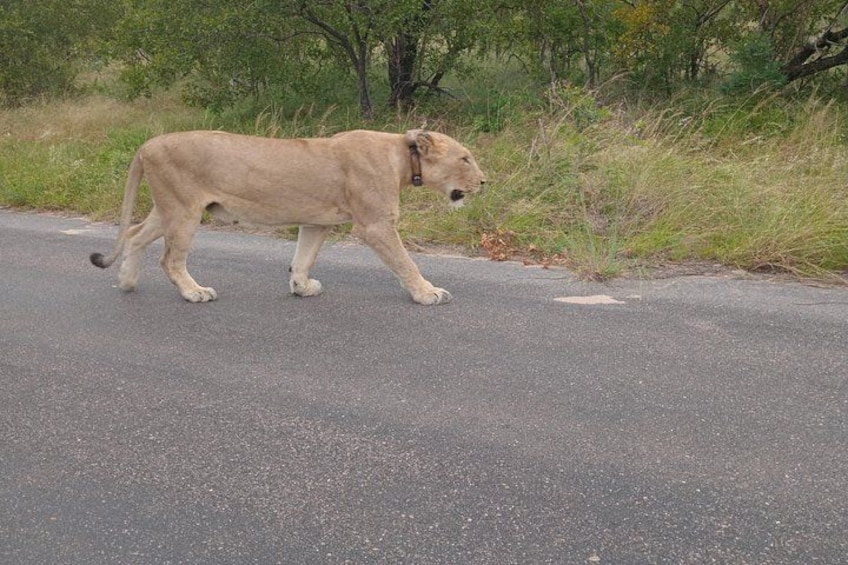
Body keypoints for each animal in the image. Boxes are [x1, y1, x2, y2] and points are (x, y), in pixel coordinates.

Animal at [90, 129, 486, 304]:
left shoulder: (316, 222)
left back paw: (127, 282)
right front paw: (428, 293)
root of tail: (147, 144)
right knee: (170, 259)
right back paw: (194, 292)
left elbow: (303, 258)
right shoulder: (375, 225)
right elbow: (406, 263)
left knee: (135, 234)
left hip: (168, 208)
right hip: (184, 210)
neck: (404, 158)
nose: (485, 182)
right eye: (465, 158)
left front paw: (301, 287)